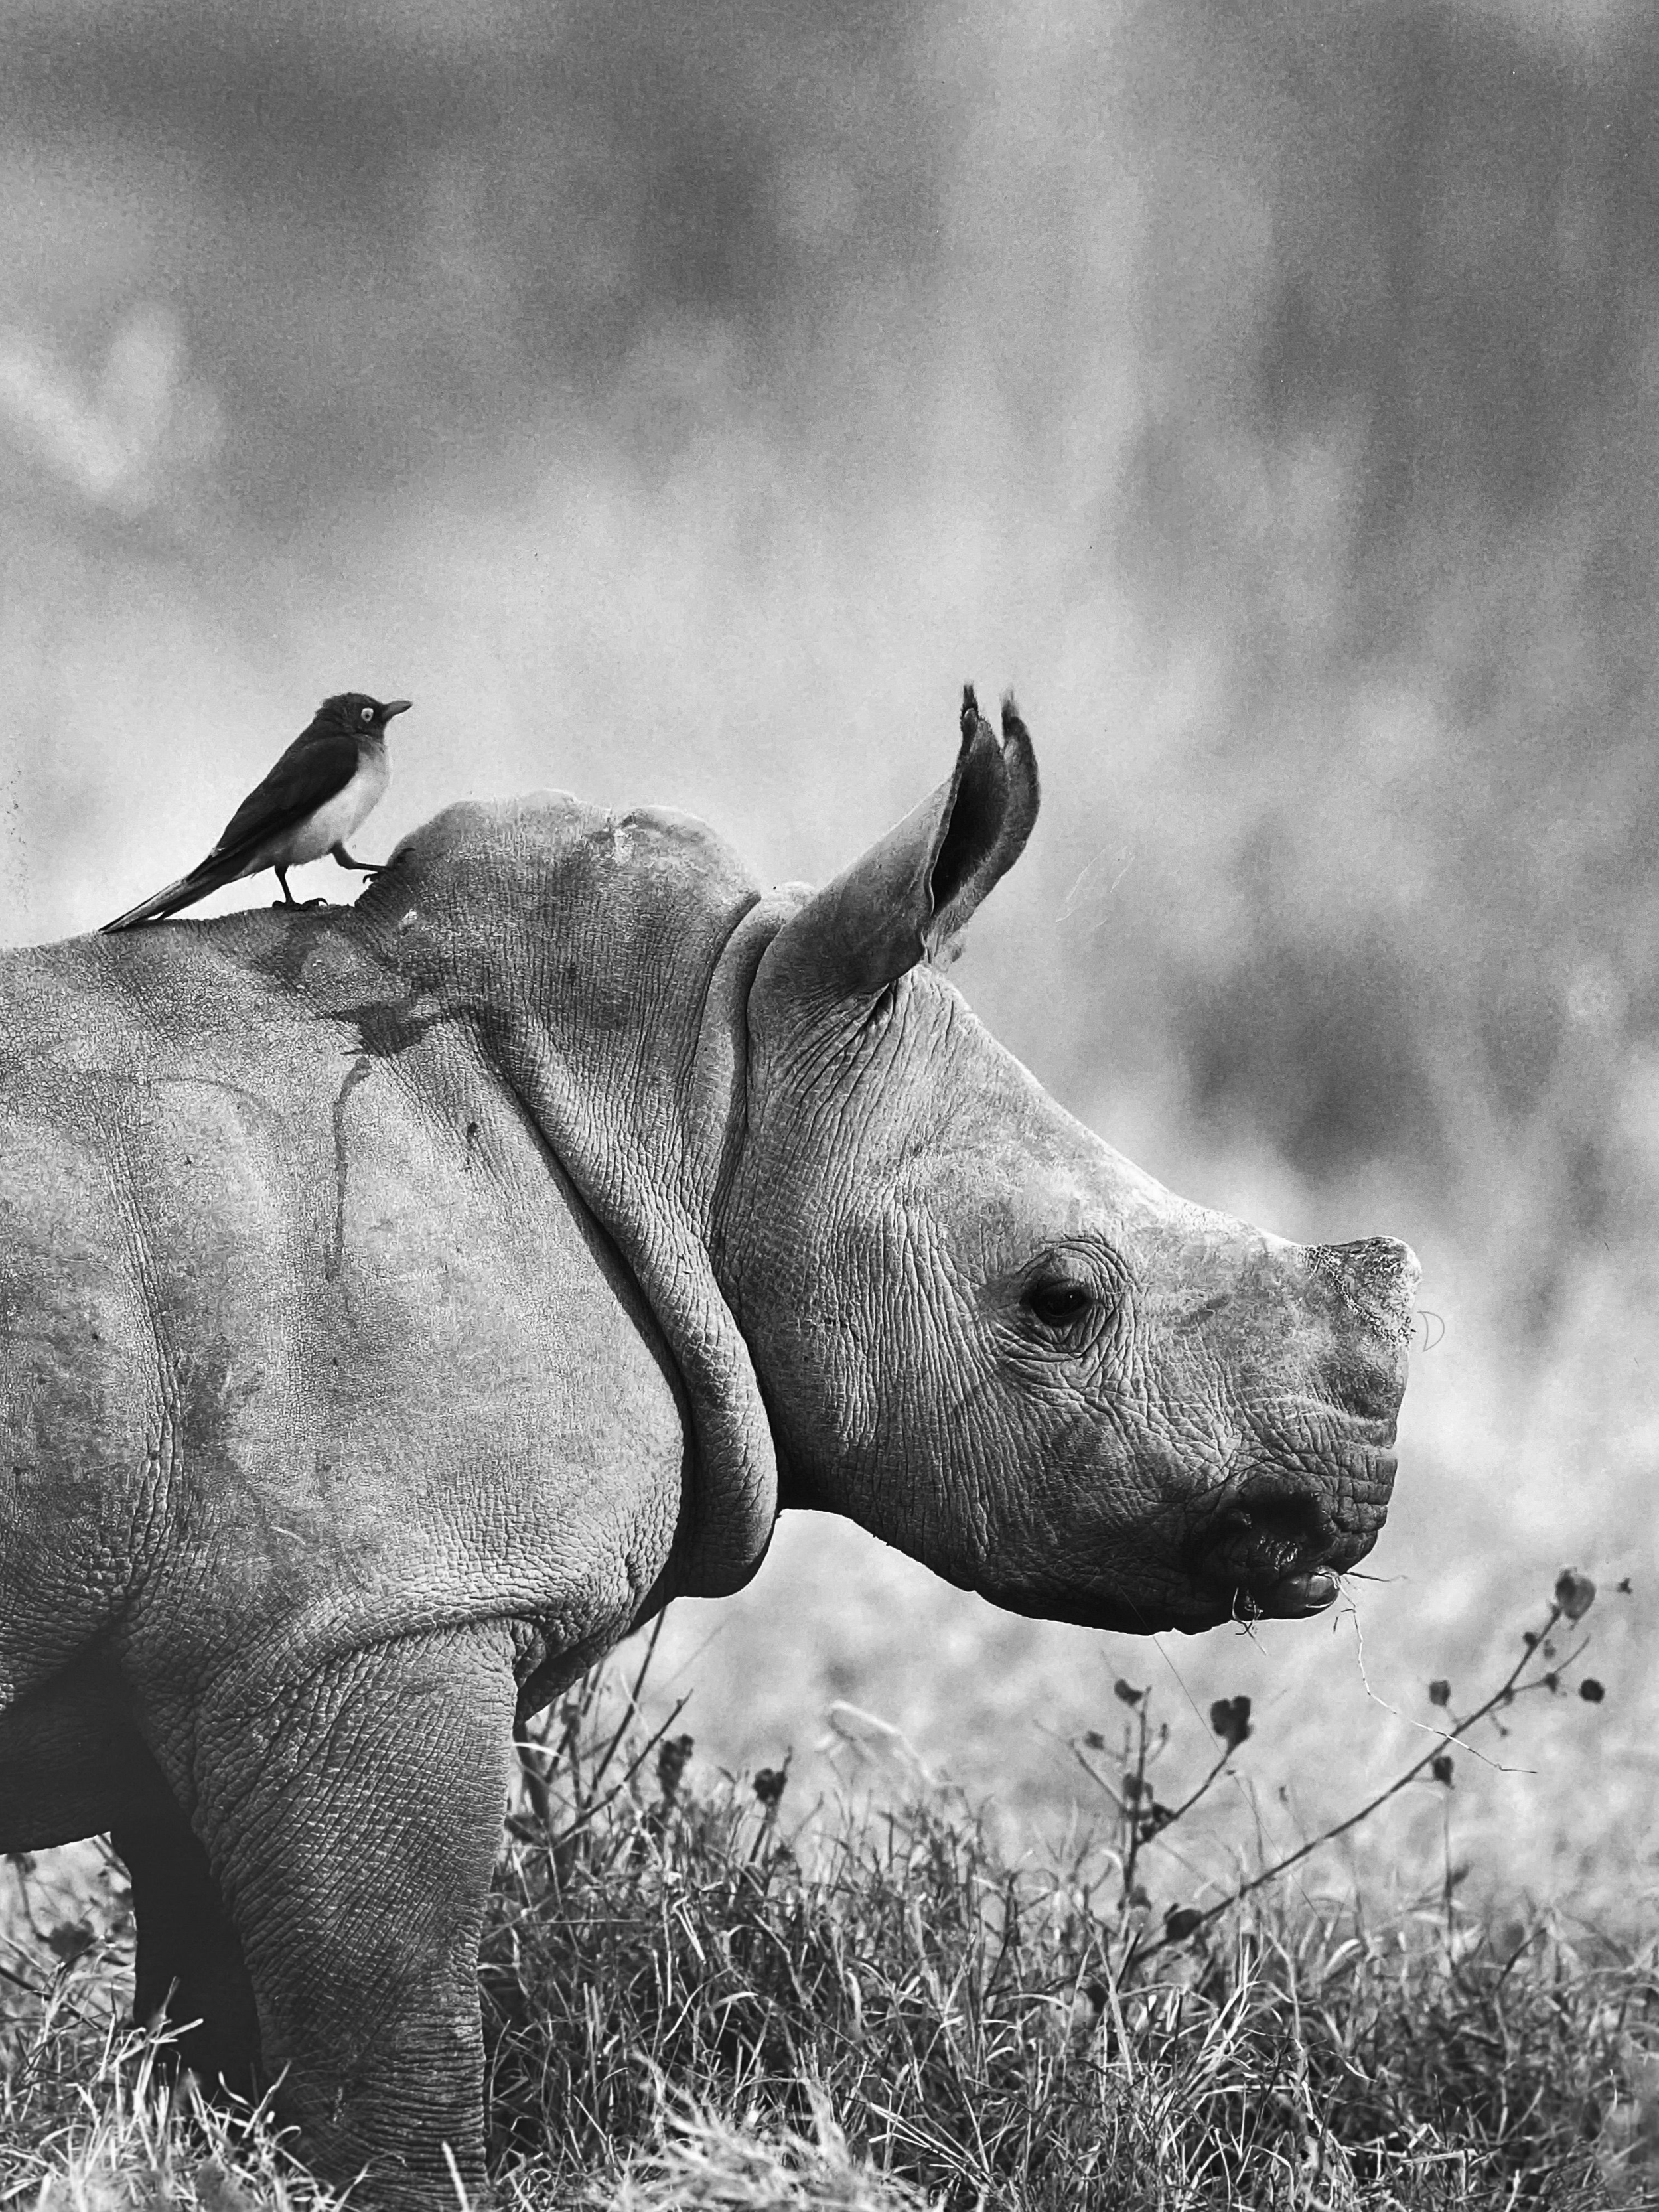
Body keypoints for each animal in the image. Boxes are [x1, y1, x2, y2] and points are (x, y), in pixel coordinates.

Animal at [0, 689, 1416, 2203]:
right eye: (1059, 1301)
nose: (1347, 1508)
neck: (696, 1087)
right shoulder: (363, 1627)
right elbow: (385, 2023)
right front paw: (417, 2174)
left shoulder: (237, 1655)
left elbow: (217, 2015)